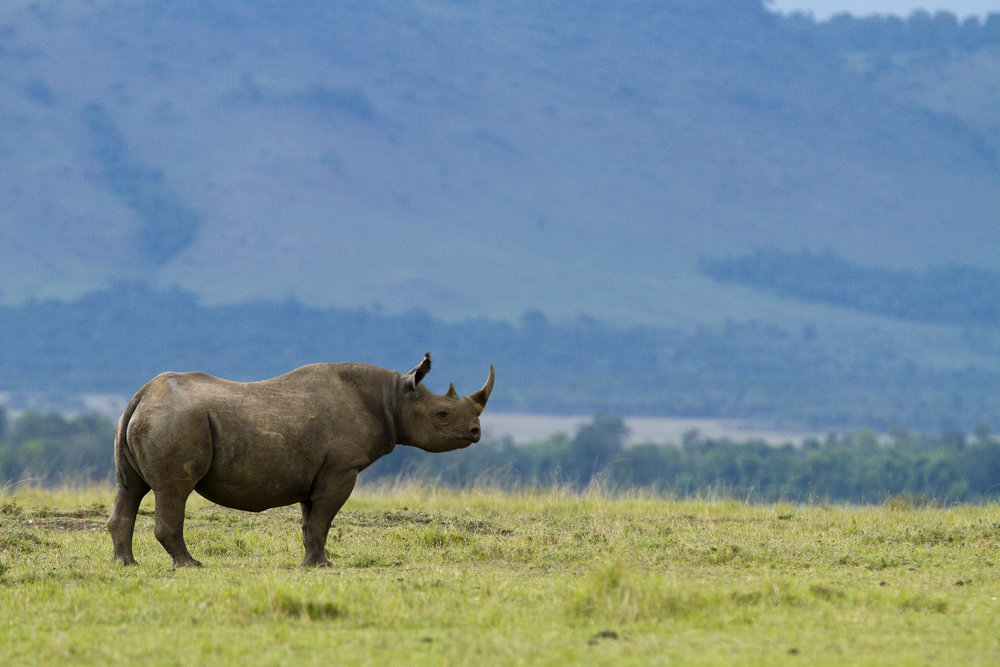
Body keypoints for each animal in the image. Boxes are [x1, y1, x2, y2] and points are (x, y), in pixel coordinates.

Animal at [105, 354, 492, 568]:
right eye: (442, 414)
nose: (476, 432)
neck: (393, 397)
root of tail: (141, 395)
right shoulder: (342, 469)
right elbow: (322, 520)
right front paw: (323, 566)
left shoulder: (318, 471)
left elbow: (310, 522)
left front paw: (312, 562)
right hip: (177, 420)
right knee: (173, 491)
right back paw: (191, 565)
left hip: (153, 418)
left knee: (131, 490)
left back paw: (127, 565)